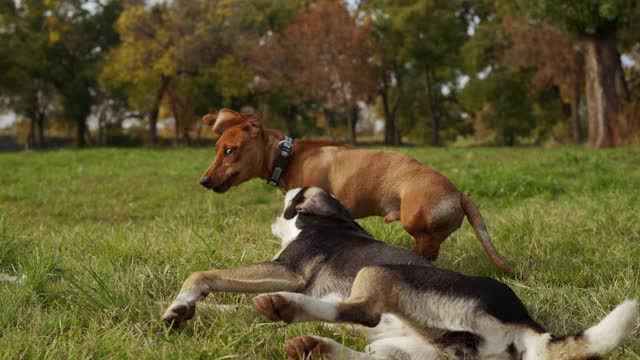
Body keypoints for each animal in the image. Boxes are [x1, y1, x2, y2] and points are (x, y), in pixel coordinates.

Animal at [162, 187, 636, 358]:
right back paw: (312, 344)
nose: (273, 219)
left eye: (285, 205)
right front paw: (186, 312)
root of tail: (527, 324)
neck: (325, 221)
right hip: (403, 347)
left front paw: (181, 305)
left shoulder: (288, 270)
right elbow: (224, 306)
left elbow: (201, 275)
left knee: (363, 309)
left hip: (376, 274)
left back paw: (289, 311)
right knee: (372, 349)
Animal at [199, 108, 510, 272]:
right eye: (217, 149)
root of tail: (460, 194)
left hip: (417, 226)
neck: (287, 157)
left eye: (230, 151)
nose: (203, 180)